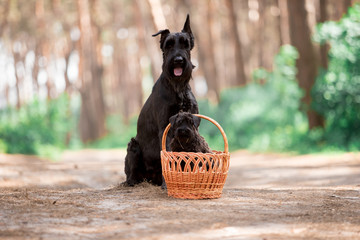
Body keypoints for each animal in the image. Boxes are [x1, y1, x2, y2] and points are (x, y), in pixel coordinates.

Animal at [124, 14, 198, 188]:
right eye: (168, 45)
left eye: (185, 44)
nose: (178, 60)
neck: (178, 89)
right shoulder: (166, 127)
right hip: (133, 146)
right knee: (131, 172)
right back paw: (132, 181)